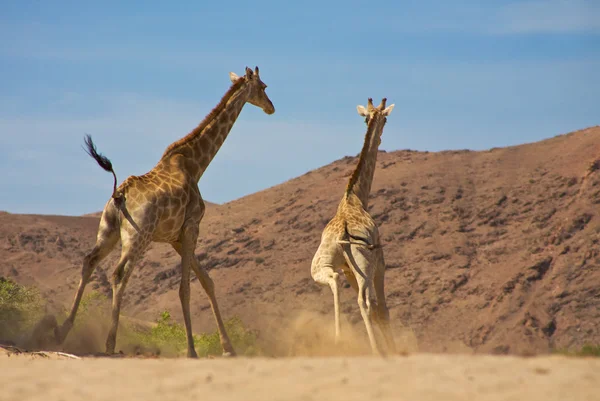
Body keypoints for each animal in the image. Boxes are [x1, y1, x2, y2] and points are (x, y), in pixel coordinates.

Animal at [54, 65, 274, 356]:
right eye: (264, 87)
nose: (271, 107)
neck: (196, 164)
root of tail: (119, 195)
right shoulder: (192, 227)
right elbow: (185, 289)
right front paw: (192, 350)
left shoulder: (174, 237)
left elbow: (207, 281)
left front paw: (228, 348)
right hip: (138, 237)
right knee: (118, 274)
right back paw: (110, 343)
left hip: (108, 231)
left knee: (89, 261)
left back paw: (62, 330)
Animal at [312, 98, 396, 354]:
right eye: (386, 119)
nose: (380, 136)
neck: (356, 197)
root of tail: (343, 232)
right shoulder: (380, 261)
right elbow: (382, 308)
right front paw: (395, 350)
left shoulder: (349, 269)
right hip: (364, 263)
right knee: (365, 302)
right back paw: (377, 351)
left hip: (321, 265)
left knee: (334, 280)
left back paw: (338, 339)